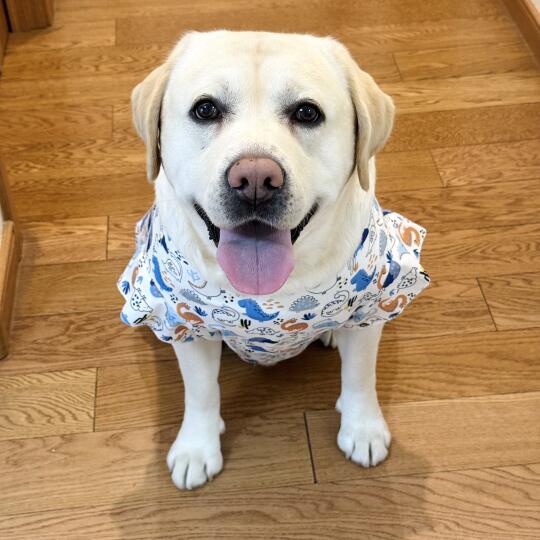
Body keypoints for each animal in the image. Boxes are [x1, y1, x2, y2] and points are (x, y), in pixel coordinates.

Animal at [118, 31, 430, 490]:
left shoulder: (373, 308)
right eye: (205, 109)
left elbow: (360, 375)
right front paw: (197, 448)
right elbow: (201, 393)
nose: (254, 180)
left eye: (307, 112)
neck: (270, 295)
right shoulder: (187, 326)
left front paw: (362, 429)